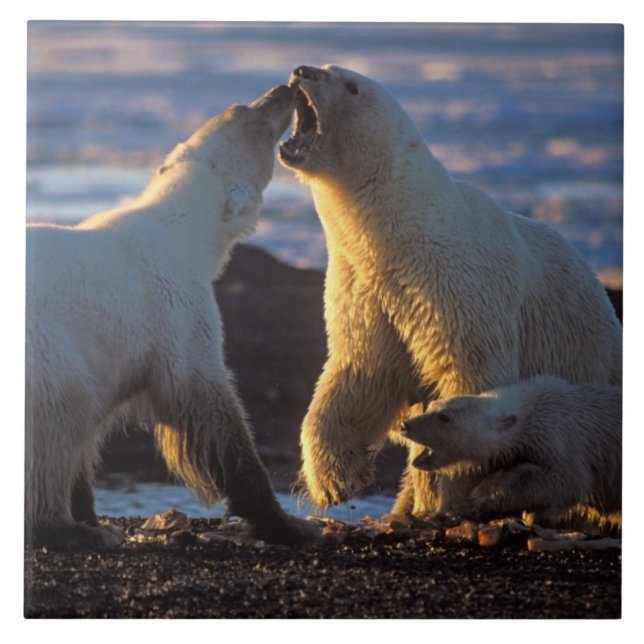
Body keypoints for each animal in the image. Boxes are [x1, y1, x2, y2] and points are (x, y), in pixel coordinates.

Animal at [25, 84, 319, 549]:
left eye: (237, 107)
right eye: (253, 118)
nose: (285, 89)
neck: (179, 230)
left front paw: (89, 511)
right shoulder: (177, 310)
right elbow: (209, 405)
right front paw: (290, 524)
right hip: (43, 346)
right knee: (61, 408)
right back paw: (71, 532)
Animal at [400, 376, 622, 529]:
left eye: (444, 417)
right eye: (433, 406)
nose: (406, 425)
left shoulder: (561, 438)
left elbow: (568, 481)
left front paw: (482, 497)